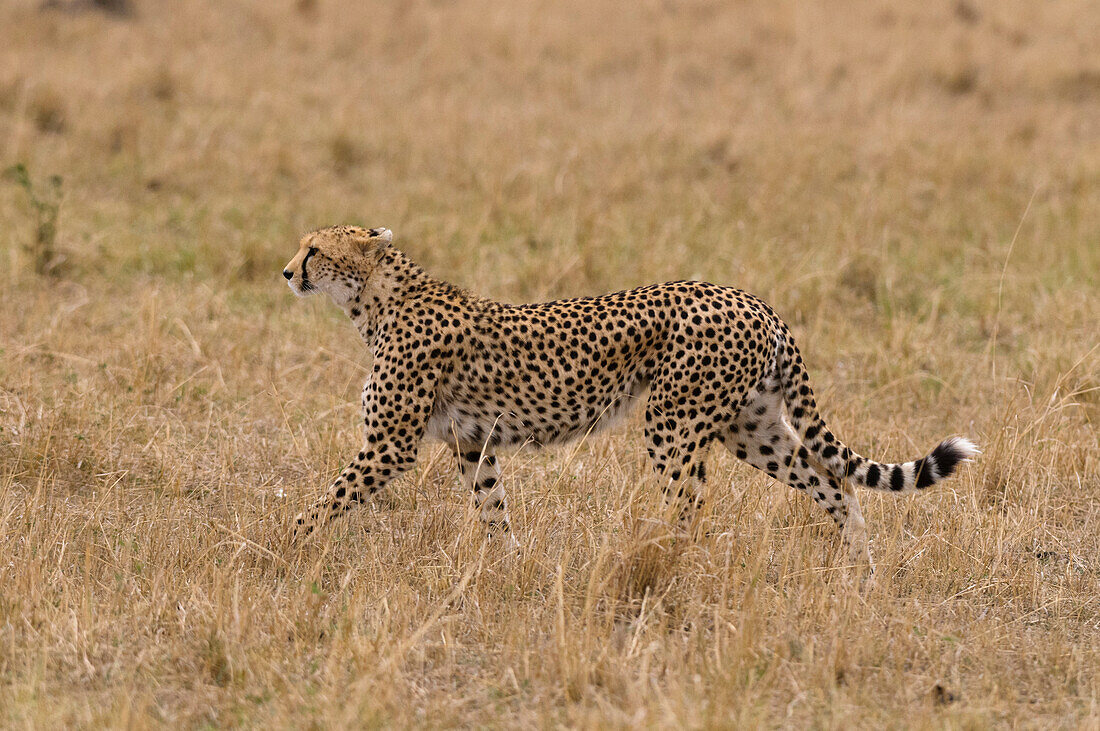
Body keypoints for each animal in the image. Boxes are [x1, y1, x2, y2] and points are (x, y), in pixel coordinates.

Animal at [286, 225, 981, 560]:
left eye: (314, 248)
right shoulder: (471, 445)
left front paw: (279, 549)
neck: (376, 299)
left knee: (690, 506)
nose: (286, 271)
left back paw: (661, 565)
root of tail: (752, 298)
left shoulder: (390, 446)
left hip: (673, 423)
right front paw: (509, 566)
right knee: (833, 483)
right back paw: (861, 570)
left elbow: (323, 502)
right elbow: (493, 511)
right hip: (752, 428)